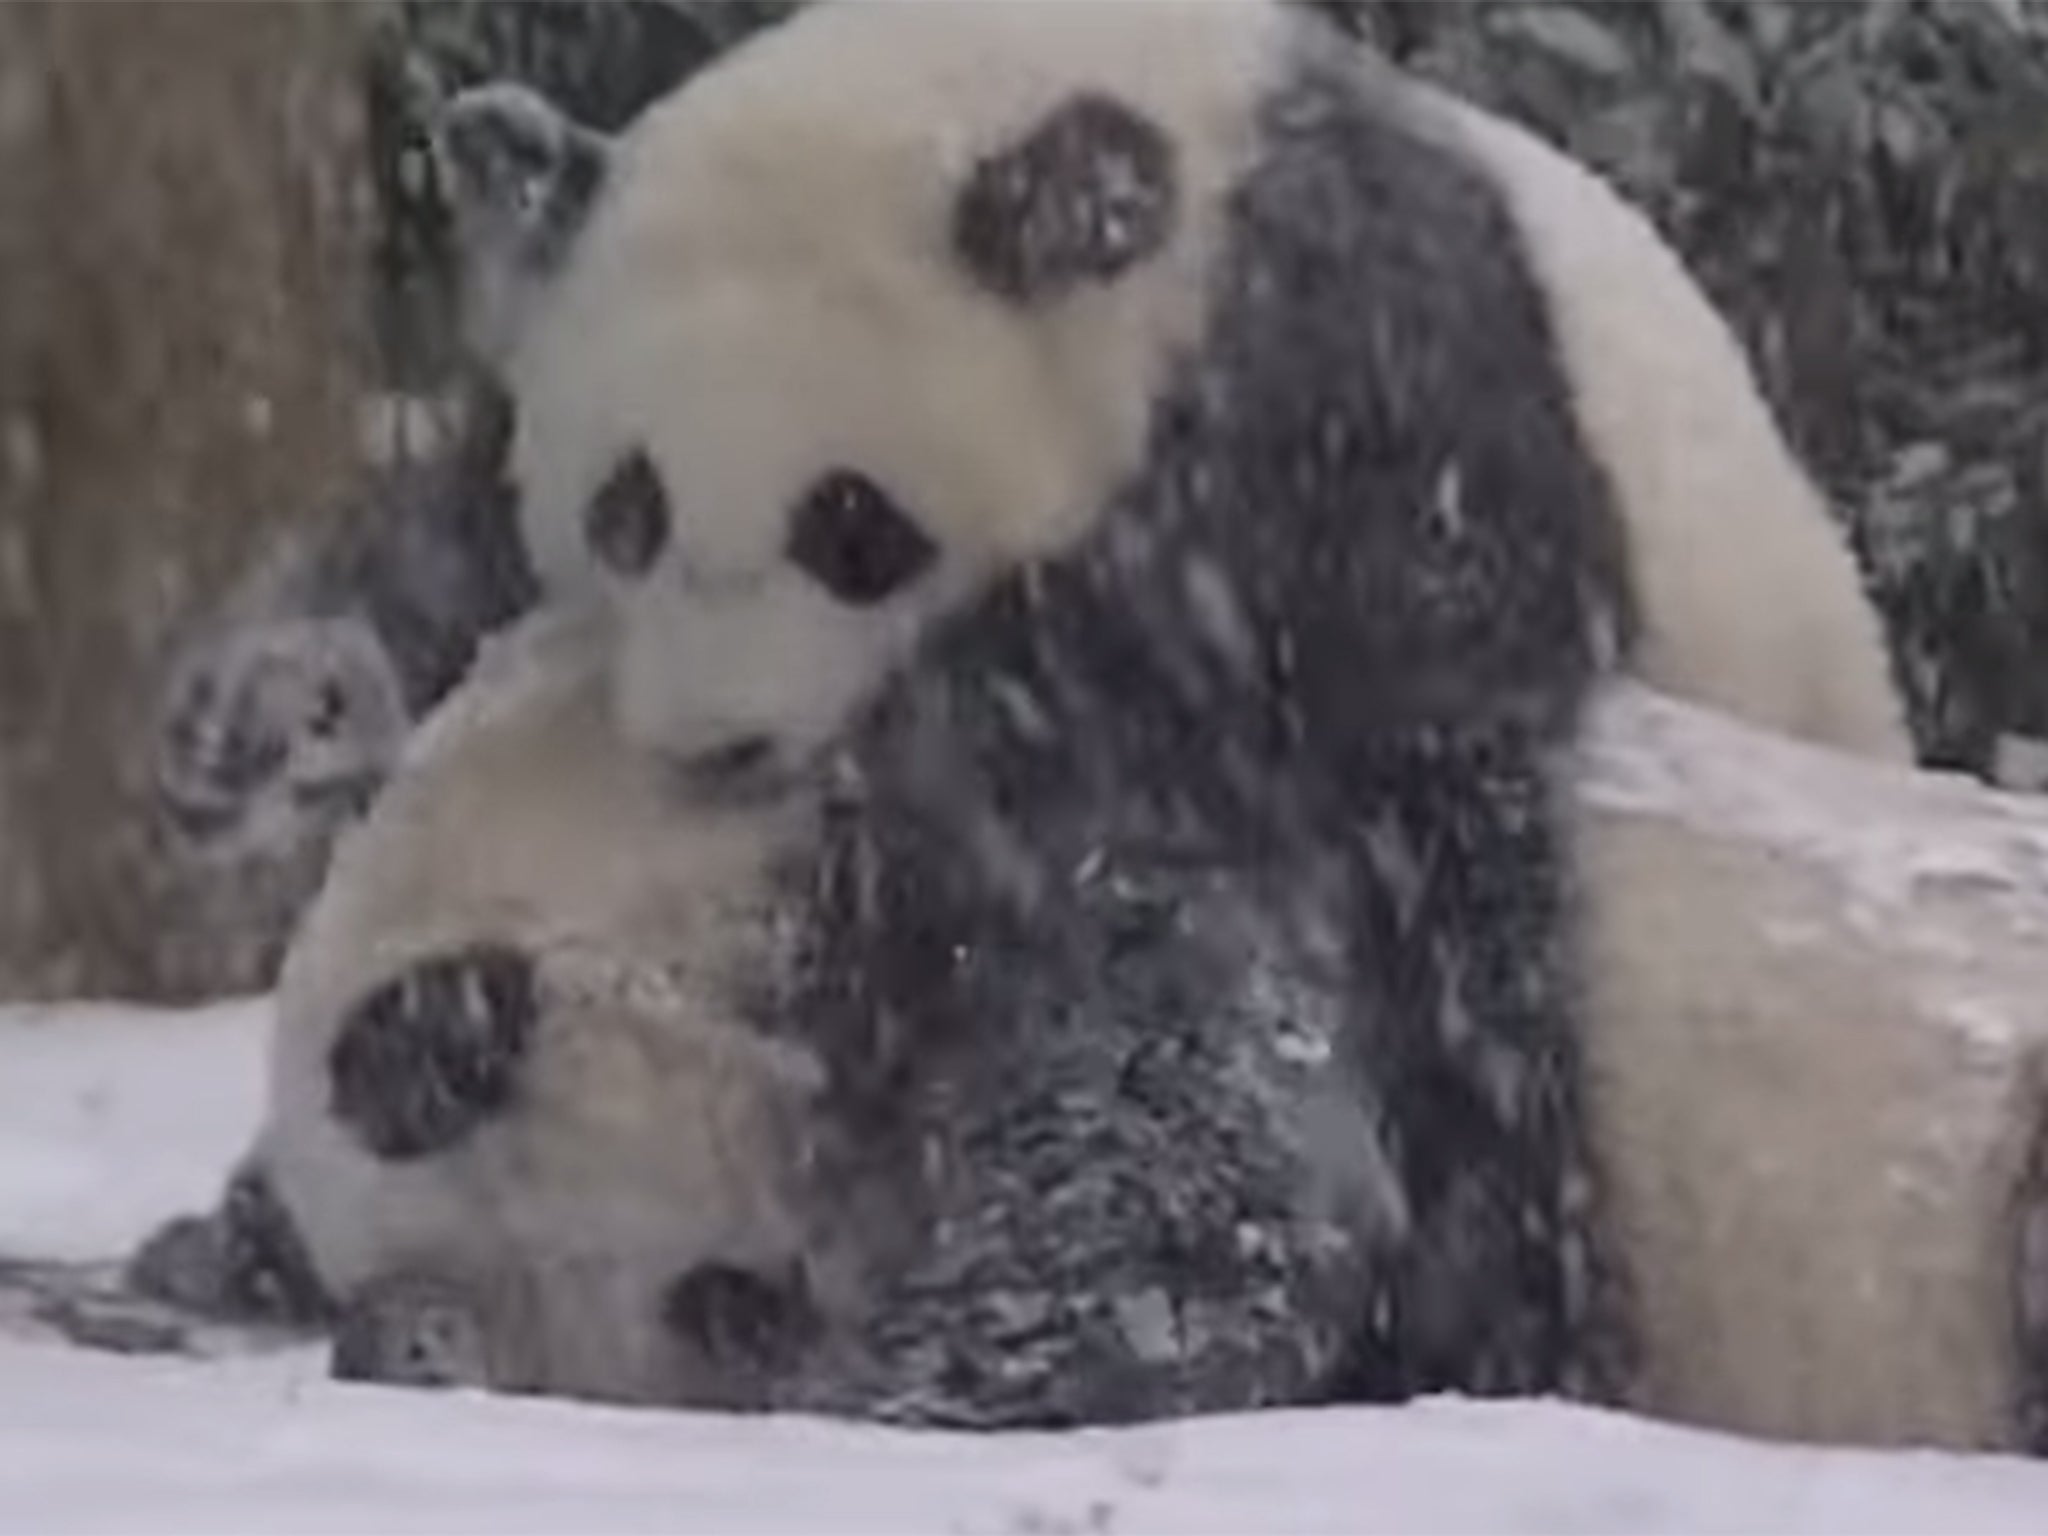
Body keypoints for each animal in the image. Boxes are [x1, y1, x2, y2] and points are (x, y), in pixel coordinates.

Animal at [159, 3, 1916, 1433]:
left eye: (852, 526)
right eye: (628, 510)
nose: (718, 749)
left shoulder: (1371, 397)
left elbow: (1315, 699)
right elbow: (453, 542)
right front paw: (273, 712)